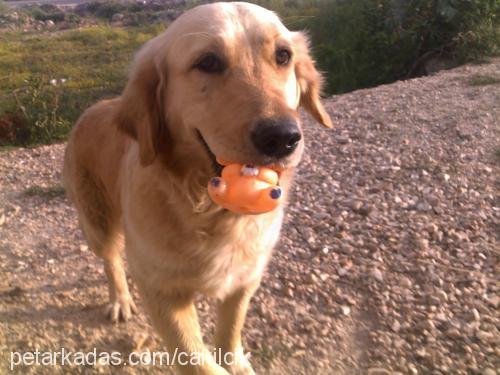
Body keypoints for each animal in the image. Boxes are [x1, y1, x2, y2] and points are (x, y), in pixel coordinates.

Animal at [62, 1, 332, 374]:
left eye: (283, 55)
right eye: (208, 62)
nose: (282, 138)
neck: (208, 208)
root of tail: (91, 110)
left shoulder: (244, 279)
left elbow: (231, 330)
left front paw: (236, 361)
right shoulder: (164, 294)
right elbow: (196, 359)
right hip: (96, 220)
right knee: (111, 259)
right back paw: (120, 300)